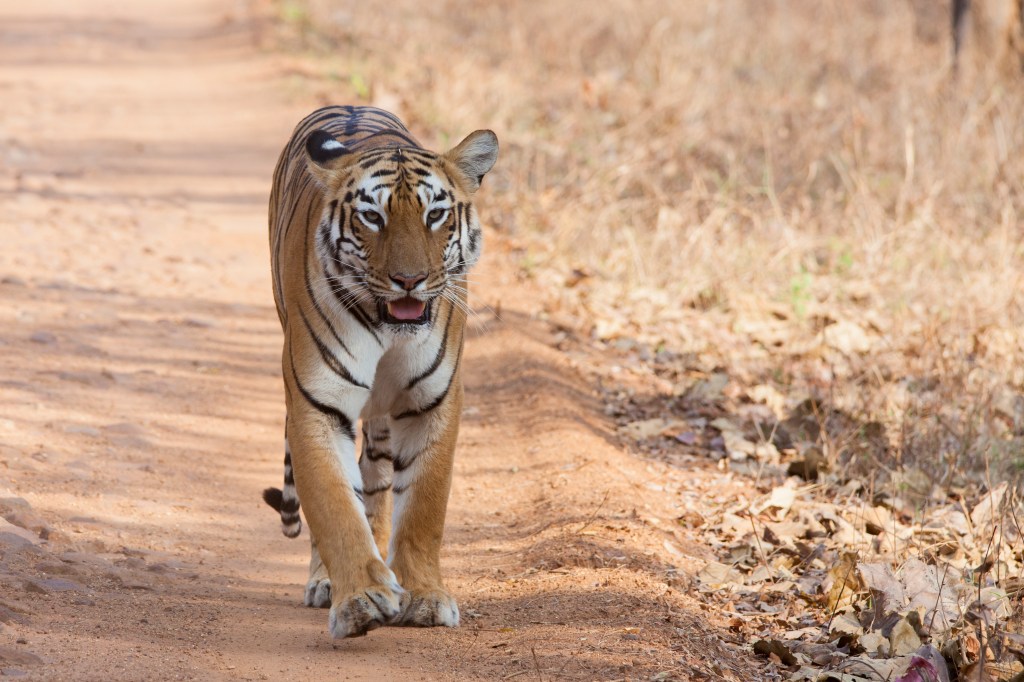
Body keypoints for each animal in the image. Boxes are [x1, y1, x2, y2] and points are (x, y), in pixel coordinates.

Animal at [261, 105, 498, 638]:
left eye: (435, 215)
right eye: (373, 216)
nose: (409, 280)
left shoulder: (432, 402)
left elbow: (423, 507)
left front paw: (425, 596)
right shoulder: (317, 404)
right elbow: (333, 506)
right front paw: (360, 599)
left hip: (384, 423)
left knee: (377, 482)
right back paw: (327, 582)